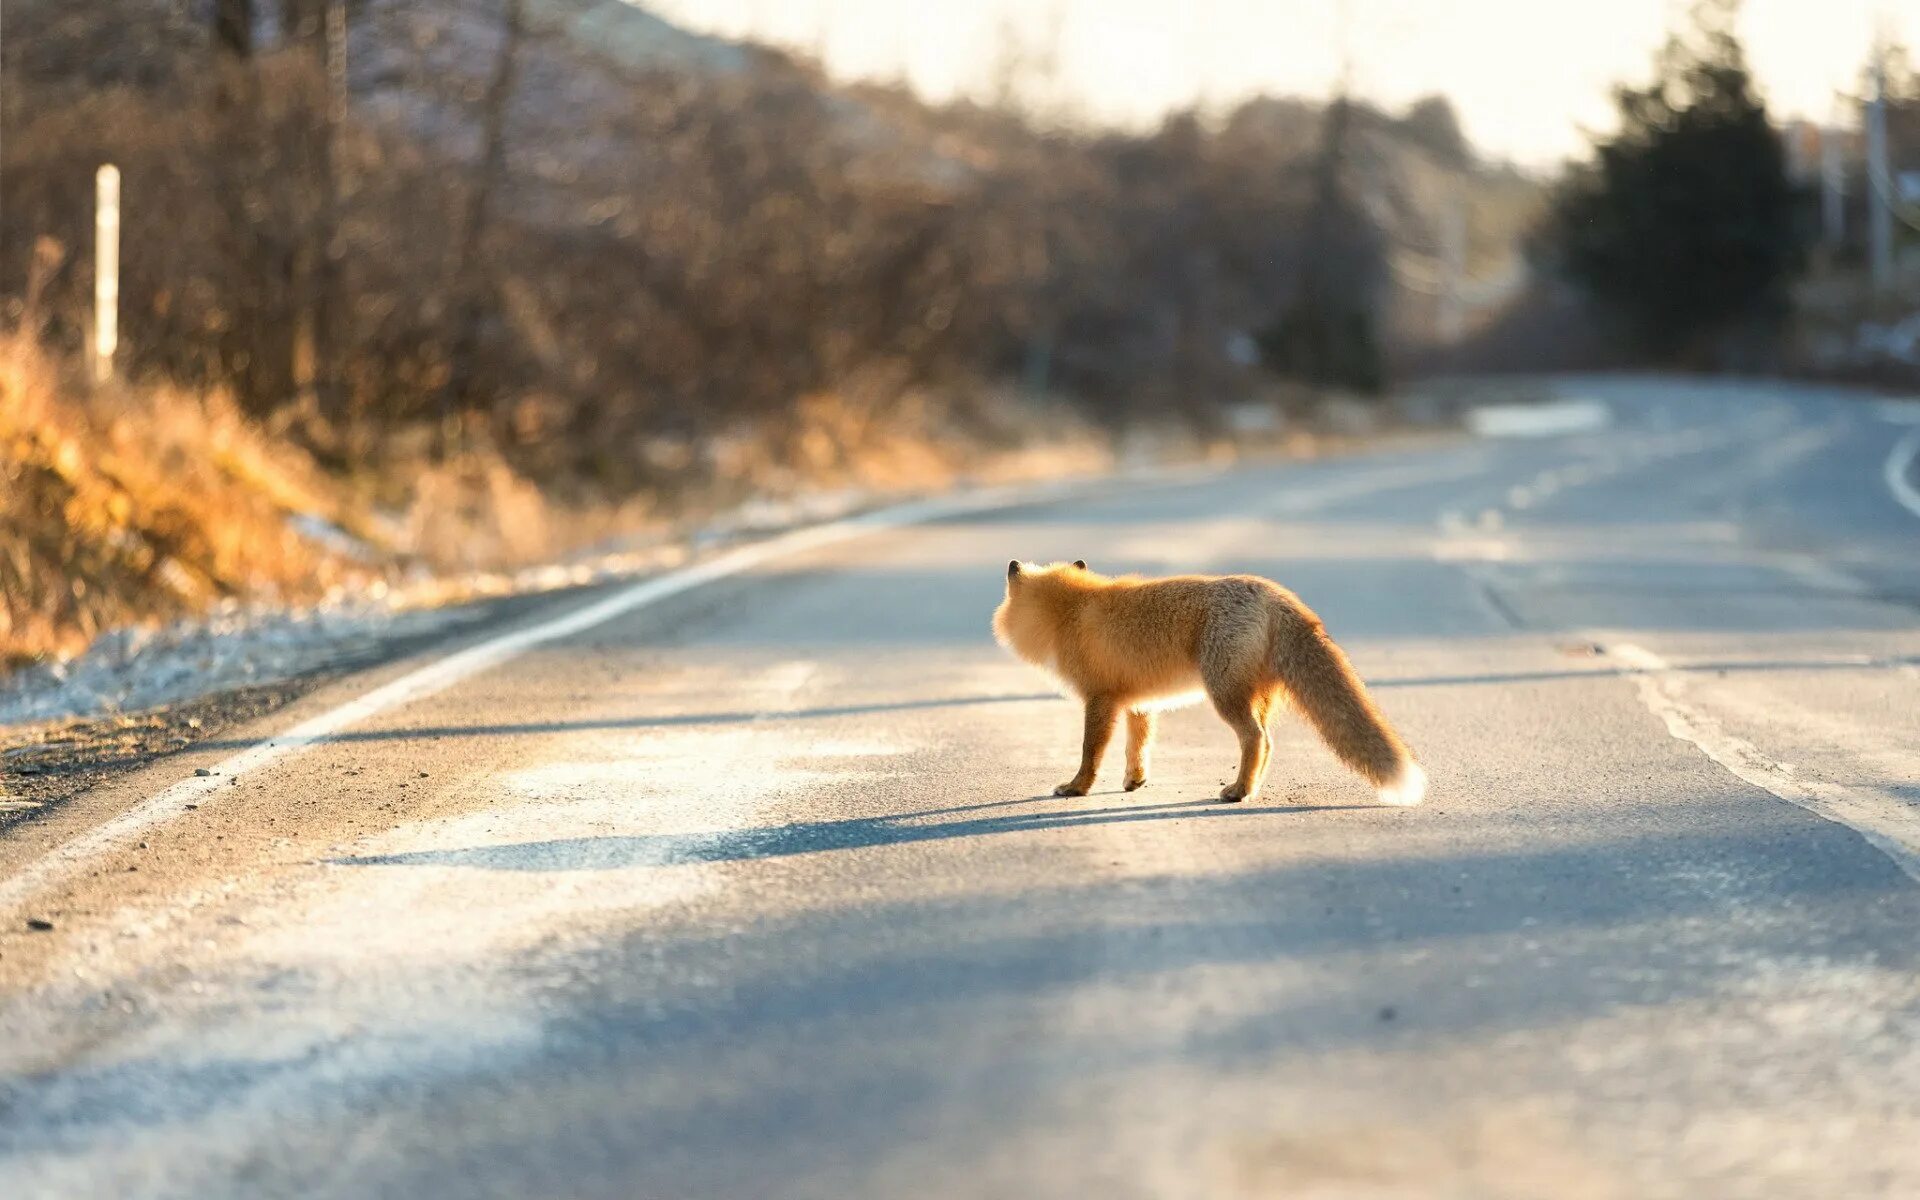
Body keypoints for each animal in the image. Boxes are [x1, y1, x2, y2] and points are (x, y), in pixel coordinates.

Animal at [990, 560, 1428, 806]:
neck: (1073, 611)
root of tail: (1272, 593)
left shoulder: (1100, 700)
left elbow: (1090, 753)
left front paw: (1077, 787)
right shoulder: (1137, 703)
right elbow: (1138, 747)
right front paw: (1134, 782)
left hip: (1225, 695)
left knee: (1255, 738)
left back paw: (1237, 792)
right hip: (1256, 696)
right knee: (1268, 743)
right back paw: (1250, 788)